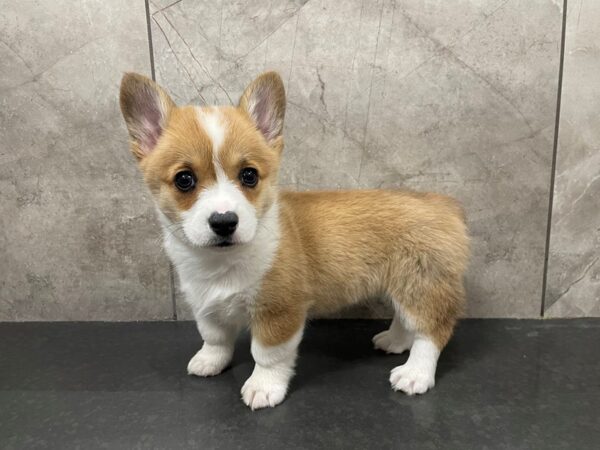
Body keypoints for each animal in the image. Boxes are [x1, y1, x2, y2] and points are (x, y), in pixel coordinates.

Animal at [119, 71, 472, 412]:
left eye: (249, 175)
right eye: (184, 179)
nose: (224, 222)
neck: (222, 261)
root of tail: (444, 205)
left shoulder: (279, 310)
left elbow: (267, 355)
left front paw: (263, 387)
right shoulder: (206, 304)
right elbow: (214, 338)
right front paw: (209, 361)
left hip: (422, 284)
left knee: (431, 330)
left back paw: (415, 374)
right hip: (402, 285)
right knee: (405, 318)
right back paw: (395, 341)